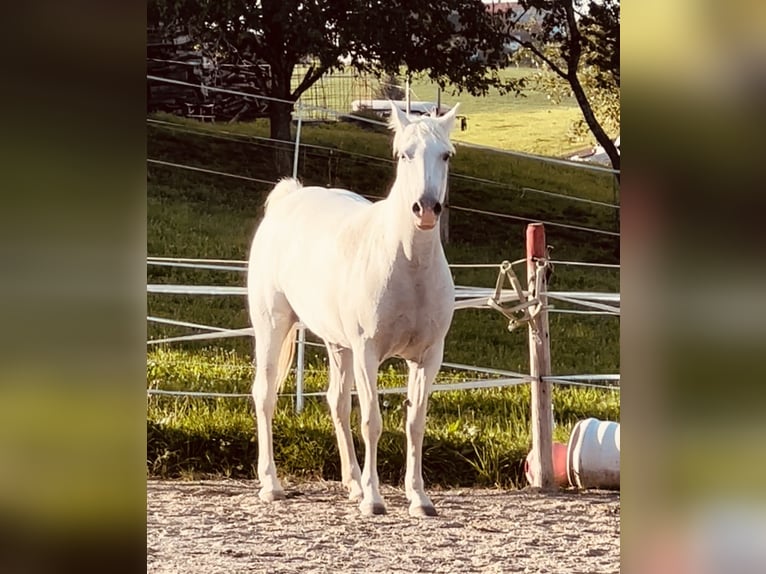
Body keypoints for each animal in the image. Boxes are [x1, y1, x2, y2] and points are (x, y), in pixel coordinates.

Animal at [249, 102, 460, 516]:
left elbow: (415, 423)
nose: (426, 209)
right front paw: (375, 501)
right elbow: (372, 422)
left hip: (338, 346)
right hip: (272, 326)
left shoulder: (428, 357)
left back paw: (352, 484)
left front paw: (419, 499)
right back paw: (272, 486)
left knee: (336, 403)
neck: (409, 266)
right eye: (403, 154)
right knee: (264, 395)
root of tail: (289, 199)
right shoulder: (368, 353)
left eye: (445, 155)